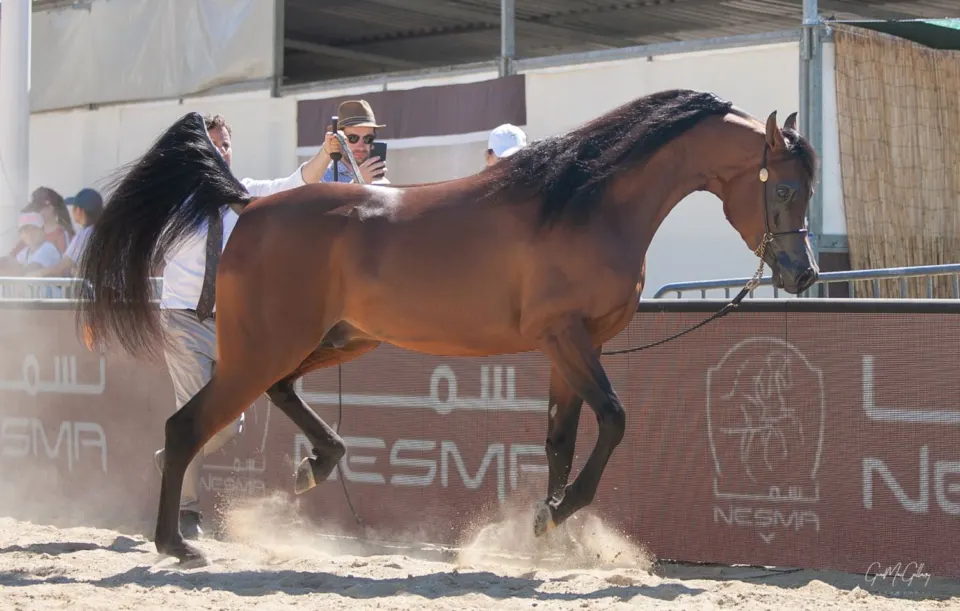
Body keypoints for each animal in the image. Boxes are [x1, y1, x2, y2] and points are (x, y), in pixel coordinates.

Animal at [75, 88, 818, 566]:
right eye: (784, 188)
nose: (803, 275)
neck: (584, 203)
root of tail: (249, 205)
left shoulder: (572, 348)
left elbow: (560, 441)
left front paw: (552, 535)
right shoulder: (568, 337)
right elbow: (614, 420)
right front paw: (557, 514)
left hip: (335, 339)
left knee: (277, 396)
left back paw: (318, 465)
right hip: (263, 348)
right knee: (185, 427)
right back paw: (176, 542)